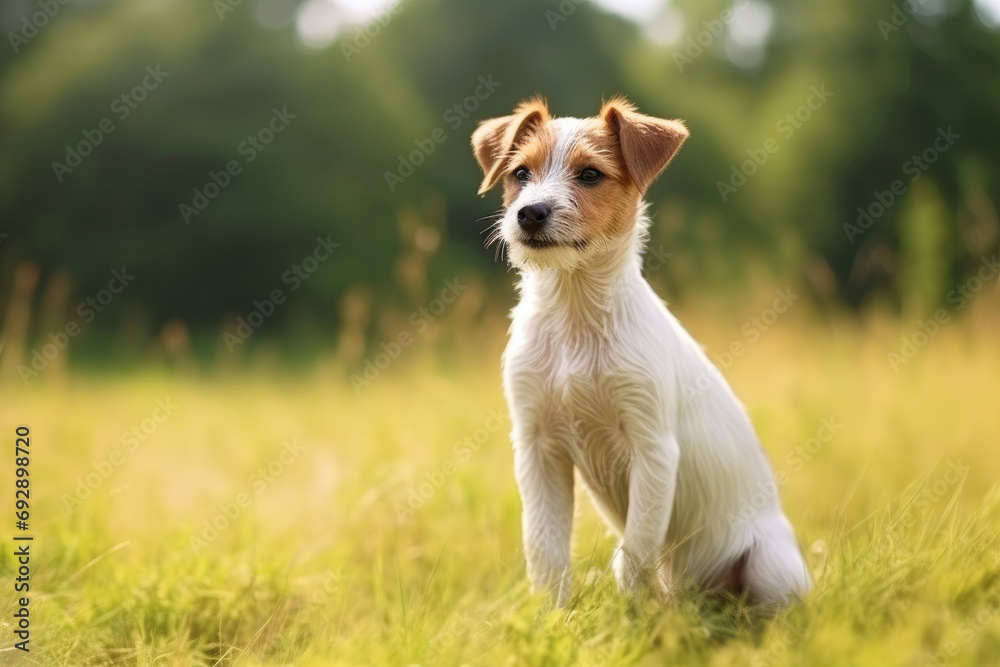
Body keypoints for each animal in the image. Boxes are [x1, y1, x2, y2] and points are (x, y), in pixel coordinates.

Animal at [470, 96, 812, 608]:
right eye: (520, 173)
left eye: (590, 174)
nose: (529, 213)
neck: (574, 314)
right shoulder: (537, 448)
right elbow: (545, 549)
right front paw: (551, 616)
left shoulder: (652, 448)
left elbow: (634, 556)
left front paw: (632, 618)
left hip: (771, 566)